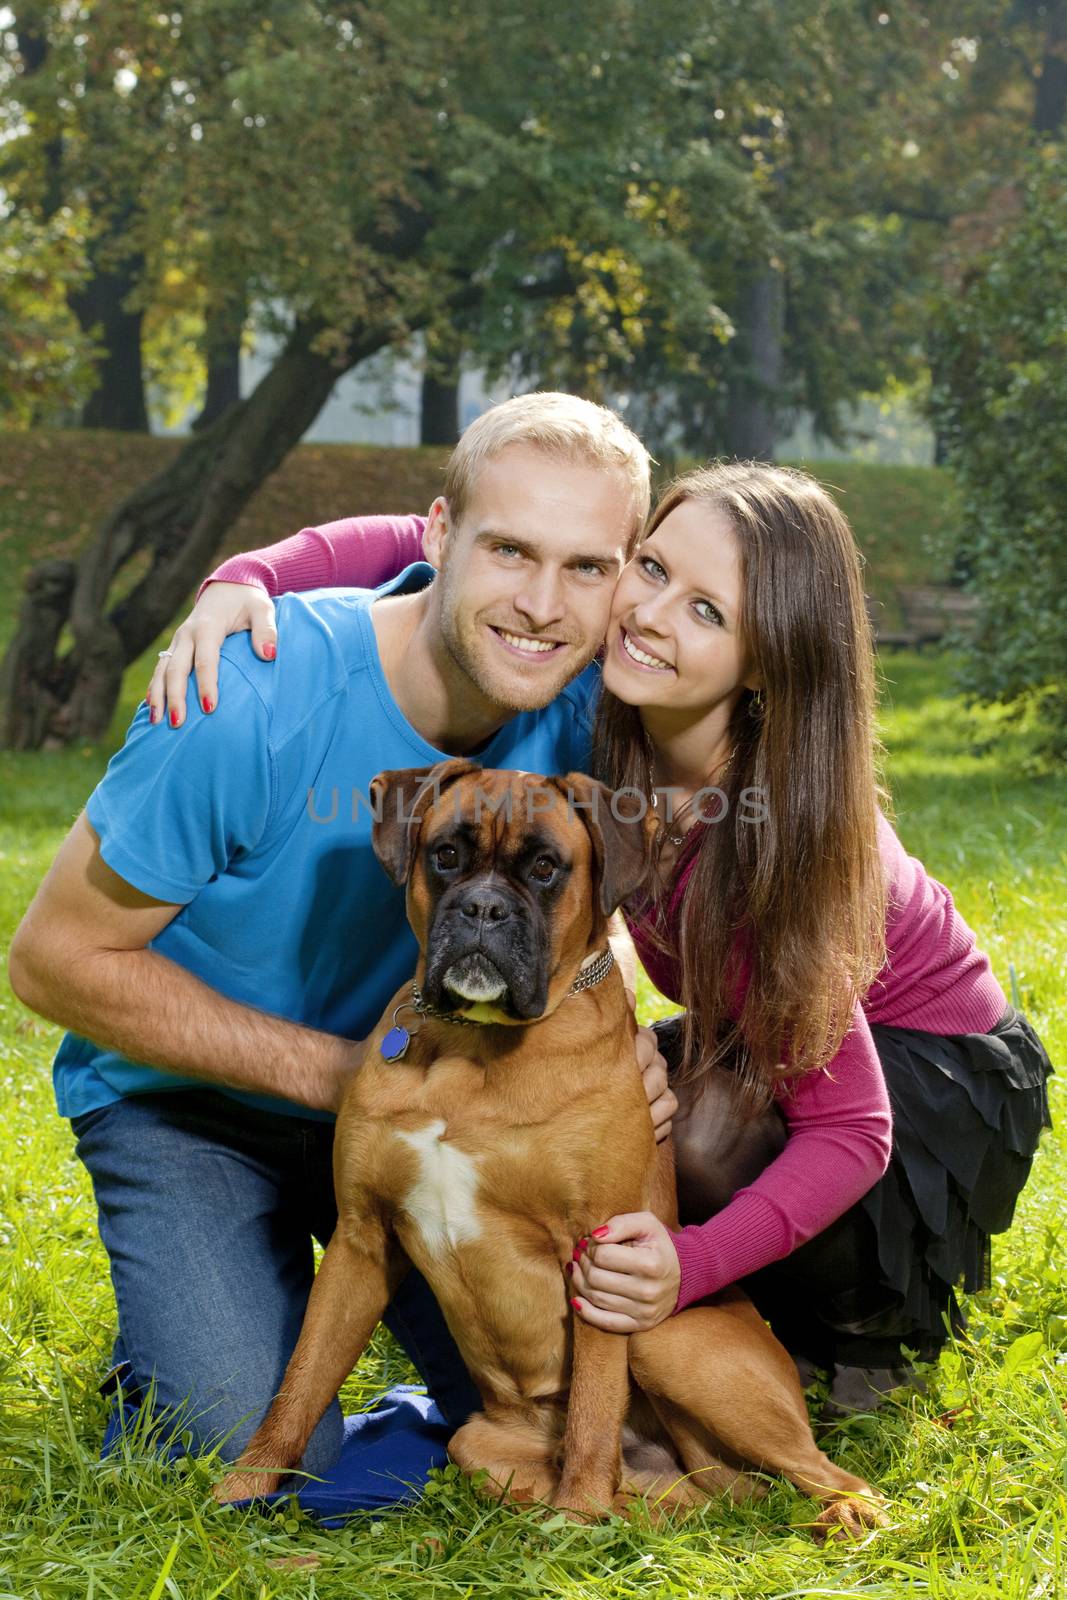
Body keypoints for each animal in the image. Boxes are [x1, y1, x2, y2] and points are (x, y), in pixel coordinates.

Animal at [217, 761, 883, 1536]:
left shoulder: (599, 1253)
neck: (474, 1051)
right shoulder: (361, 1239)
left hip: (661, 1335)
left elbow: (594, 1400)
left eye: (543, 868)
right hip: (478, 1439)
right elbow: (302, 1377)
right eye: (446, 855)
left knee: (831, 1474)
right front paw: (247, 1485)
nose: (481, 909)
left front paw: (578, 1510)